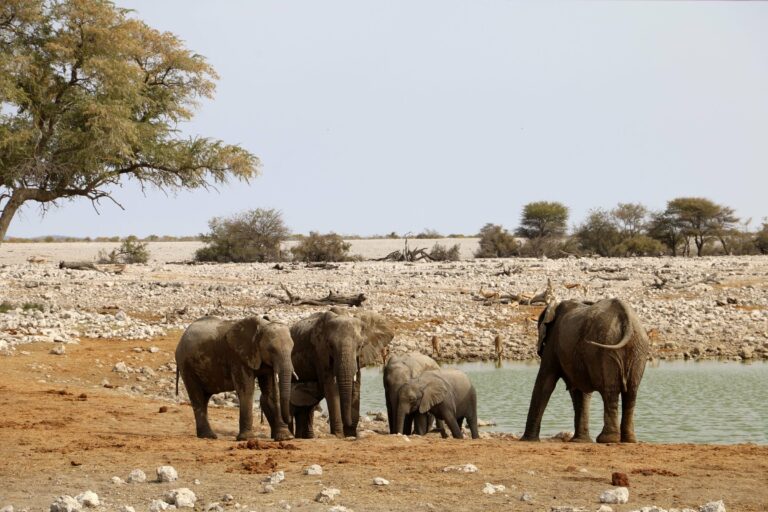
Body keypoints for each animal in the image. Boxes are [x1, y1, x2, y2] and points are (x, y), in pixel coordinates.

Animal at [290, 307, 394, 438]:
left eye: (360, 346)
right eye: (330, 346)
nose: (348, 426)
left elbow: (356, 387)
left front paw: (350, 434)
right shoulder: (320, 353)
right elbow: (331, 388)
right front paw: (339, 435)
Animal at [521, 298, 650, 443]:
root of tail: (627, 317)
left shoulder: (552, 343)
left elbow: (545, 382)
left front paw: (527, 440)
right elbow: (580, 391)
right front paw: (580, 441)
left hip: (607, 346)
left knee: (610, 390)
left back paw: (607, 439)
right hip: (637, 348)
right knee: (631, 392)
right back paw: (628, 440)